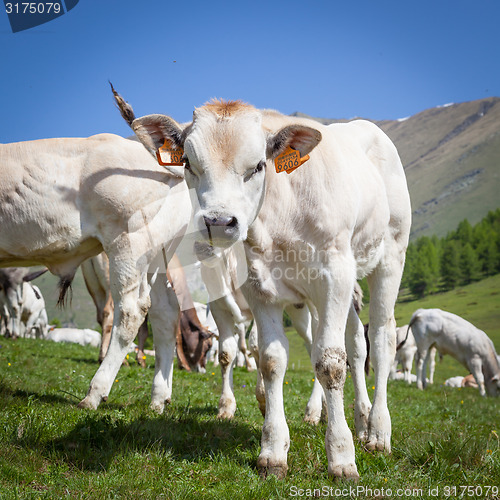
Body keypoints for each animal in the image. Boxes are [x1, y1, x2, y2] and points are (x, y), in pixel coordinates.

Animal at [128, 94, 410, 480]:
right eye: (187, 162)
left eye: (259, 165)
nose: (218, 222)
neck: (281, 217)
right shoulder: (260, 287)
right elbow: (272, 361)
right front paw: (273, 452)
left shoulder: (334, 275)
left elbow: (329, 363)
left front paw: (341, 456)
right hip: (322, 295)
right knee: (354, 343)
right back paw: (359, 417)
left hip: (388, 257)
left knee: (380, 339)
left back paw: (378, 432)